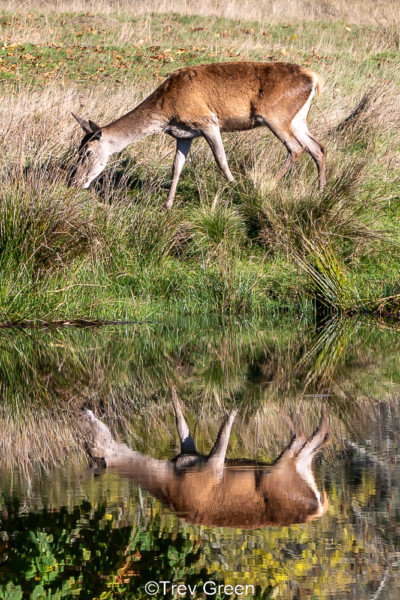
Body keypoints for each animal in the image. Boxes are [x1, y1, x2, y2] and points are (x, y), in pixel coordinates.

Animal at [72, 60, 326, 207]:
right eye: (78, 149)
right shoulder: (184, 135)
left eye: (88, 152)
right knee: (318, 148)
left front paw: (235, 188)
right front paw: (167, 205)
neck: (166, 110)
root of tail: (315, 78)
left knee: (297, 147)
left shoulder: (208, 121)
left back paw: (268, 184)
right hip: (298, 119)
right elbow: (176, 167)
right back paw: (321, 191)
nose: (73, 182)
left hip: (276, 116)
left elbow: (221, 160)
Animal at [86, 392, 330, 528]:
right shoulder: (204, 461)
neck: (169, 477)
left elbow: (196, 424)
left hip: (277, 474)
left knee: (306, 436)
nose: (87, 412)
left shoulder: (208, 467)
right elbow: (186, 423)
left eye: (92, 444)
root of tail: (318, 509)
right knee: (311, 438)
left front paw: (232, 409)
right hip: (288, 471)